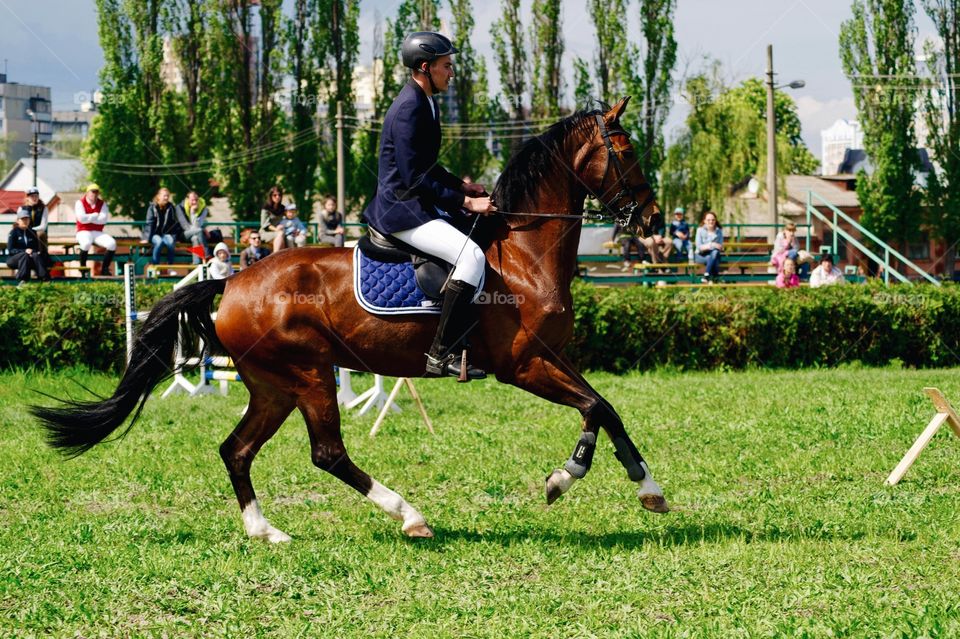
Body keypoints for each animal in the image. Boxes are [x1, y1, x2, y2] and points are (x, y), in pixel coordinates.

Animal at [32, 97, 669, 543]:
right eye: (626, 150)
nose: (653, 220)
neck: (522, 256)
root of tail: (233, 283)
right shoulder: (524, 365)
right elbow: (595, 408)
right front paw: (568, 477)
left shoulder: (551, 358)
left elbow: (604, 407)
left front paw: (646, 487)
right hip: (310, 376)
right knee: (327, 453)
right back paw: (409, 515)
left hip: (274, 386)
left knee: (236, 450)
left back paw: (266, 531)